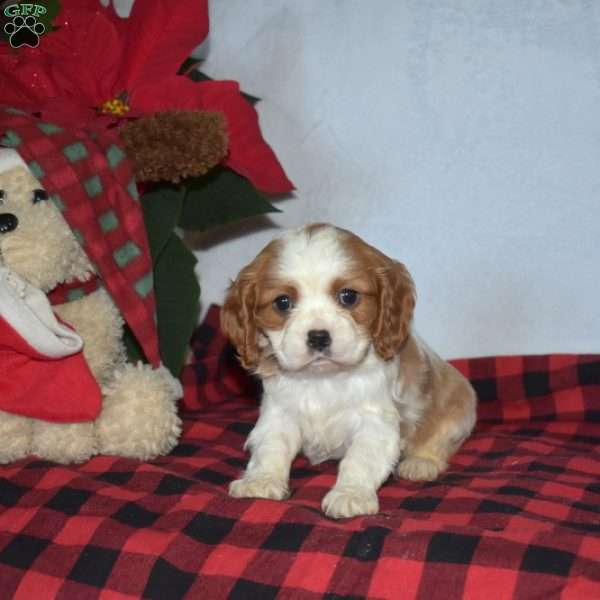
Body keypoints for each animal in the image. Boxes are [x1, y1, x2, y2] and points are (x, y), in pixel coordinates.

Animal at [218, 223, 476, 516]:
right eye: (282, 303)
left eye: (348, 296)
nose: (318, 337)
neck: (323, 378)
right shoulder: (278, 413)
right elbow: (271, 446)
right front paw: (261, 481)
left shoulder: (375, 421)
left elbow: (360, 458)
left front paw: (351, 494)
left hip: (459, 409)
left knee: (439, 442)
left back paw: (420, 463)